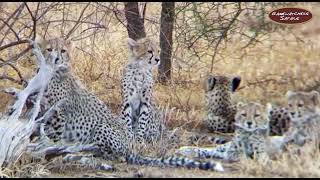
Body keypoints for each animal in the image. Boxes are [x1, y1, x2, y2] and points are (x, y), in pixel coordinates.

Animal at [26, 37, 225, 172]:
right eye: (49, 49)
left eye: (63, 51)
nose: (57, 59)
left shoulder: (60, 111)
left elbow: (55, 134)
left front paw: (50, 147)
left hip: (102, 128)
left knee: (115, 153)